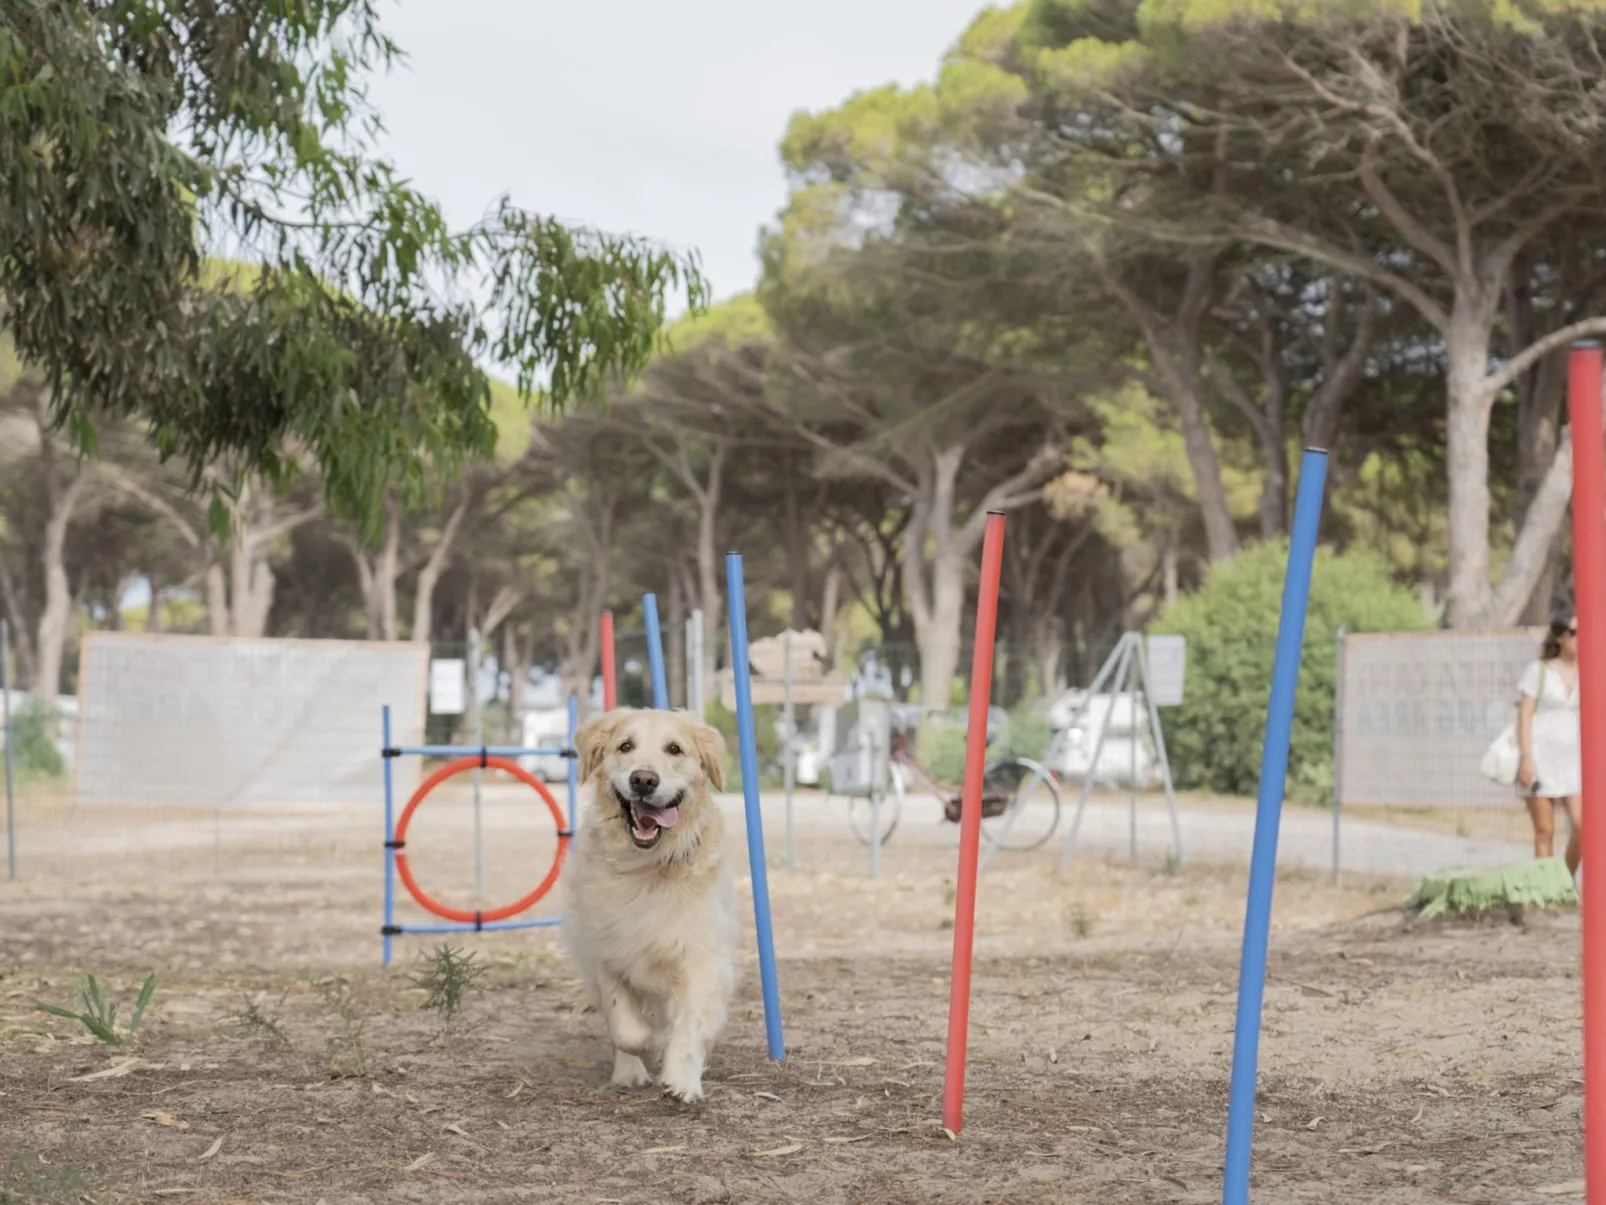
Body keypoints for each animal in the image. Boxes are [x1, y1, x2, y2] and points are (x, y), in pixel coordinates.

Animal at [565, 706, 735, 1105]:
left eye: (674, 749)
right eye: (626, 746)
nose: (643, 779)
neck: (648, 867)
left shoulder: (699, 955)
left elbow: (689, 1022)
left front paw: (683, 1080)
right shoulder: (606, 949)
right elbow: (625, 1025)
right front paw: (642, 1048)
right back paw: (630, 1070)